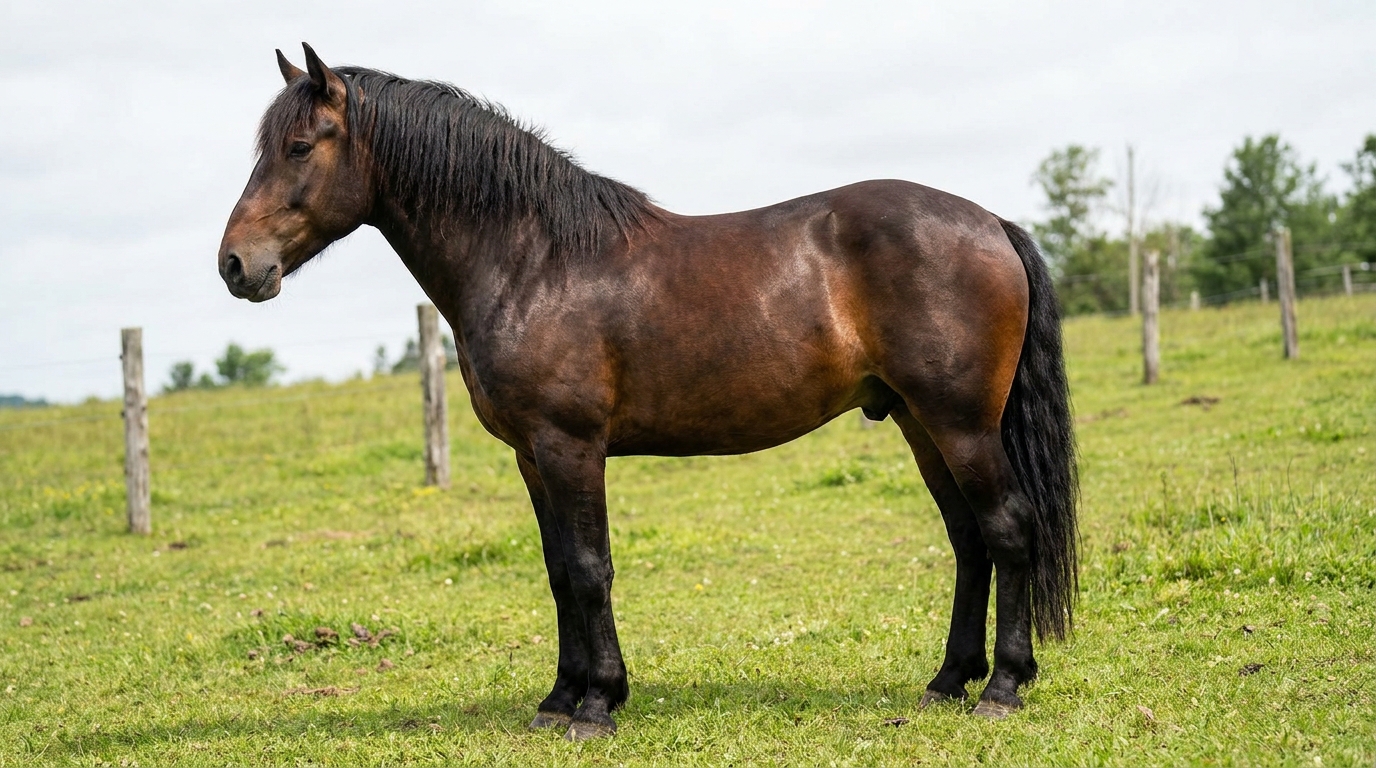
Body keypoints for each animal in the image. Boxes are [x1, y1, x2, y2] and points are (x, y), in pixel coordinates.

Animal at [218, 43, 1078, 740]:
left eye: (299, 146)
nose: (234, 265)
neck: (533, 261)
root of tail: (991, 222)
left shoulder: (571, 446)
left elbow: (590, 568)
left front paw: (598, 705)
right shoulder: (532, 456)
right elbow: (558, 572)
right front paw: (560, 699)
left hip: (960, 423)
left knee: (1006, 529)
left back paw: (1002, 688)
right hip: (916, 422)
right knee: (968, 540)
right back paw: (948, 681)